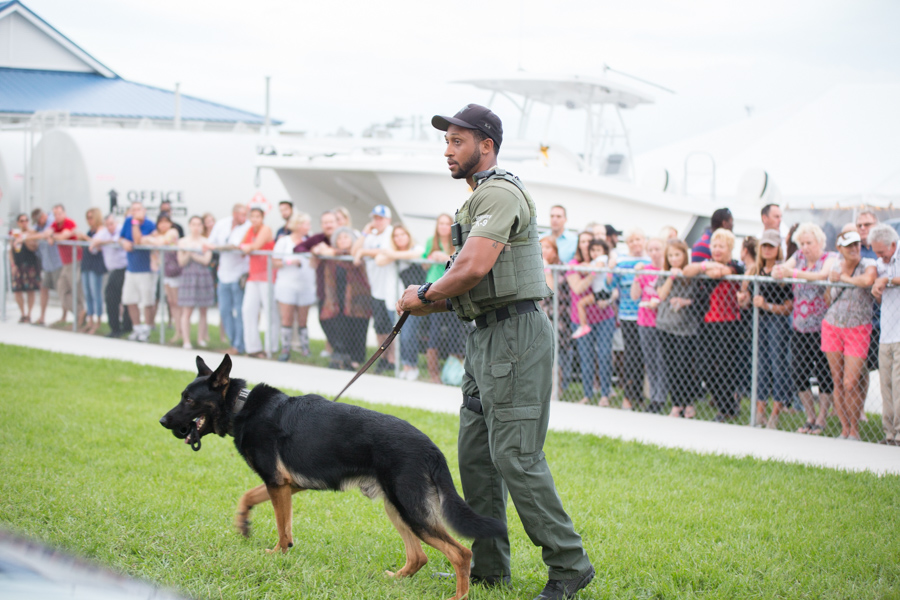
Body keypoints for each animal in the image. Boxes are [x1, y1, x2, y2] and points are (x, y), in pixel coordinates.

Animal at [158, 356, 502, 600]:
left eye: (189, 400)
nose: (162, 420)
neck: (240, 405)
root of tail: (432, 448)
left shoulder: (277, 483)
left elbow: (281, 526)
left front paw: (277, 554)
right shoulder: (285, 484)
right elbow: (253, 498)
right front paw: (245, 523)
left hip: (411, 511)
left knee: (461, 553)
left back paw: (458, 596)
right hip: (397, 507)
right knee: (419, 556)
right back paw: (396, 580)